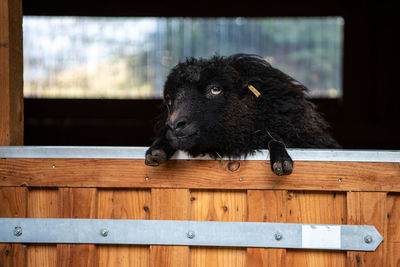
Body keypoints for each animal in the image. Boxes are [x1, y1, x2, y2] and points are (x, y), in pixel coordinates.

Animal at [145, 54, 340, 176]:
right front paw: (158, 149)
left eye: (215, 89)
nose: (174, 125)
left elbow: (273, 137)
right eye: (169, 99)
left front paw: (281, 160)